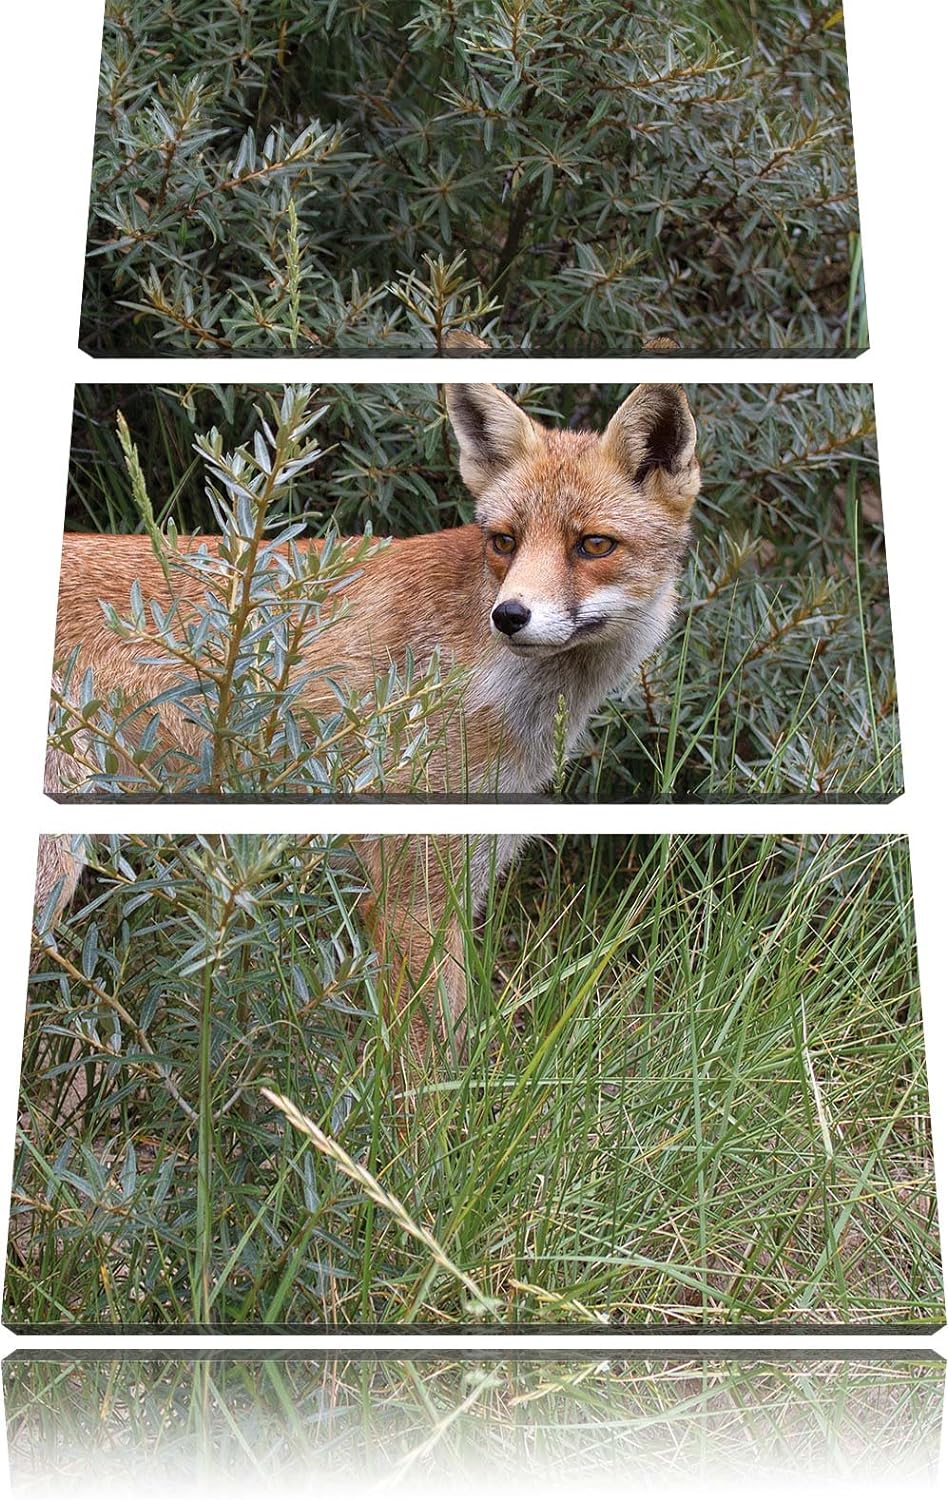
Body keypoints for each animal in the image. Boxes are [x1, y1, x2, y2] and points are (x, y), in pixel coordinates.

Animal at [38, 382, 700, 1062]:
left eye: (593, 545)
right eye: (504, 542)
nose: (510, 615)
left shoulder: (462, 881)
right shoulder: (411, 897)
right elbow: (420, 1066)